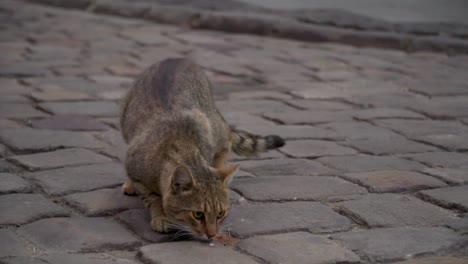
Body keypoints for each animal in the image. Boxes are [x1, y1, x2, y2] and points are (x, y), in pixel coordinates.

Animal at [119, 58, 284, 239]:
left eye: (220, 214)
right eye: (198, 214)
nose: (212, 234)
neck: (180, 145)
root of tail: (177, 59)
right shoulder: (137, 169)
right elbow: (152, 198)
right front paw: (161, 216)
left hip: (212, 122)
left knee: (226, 142)